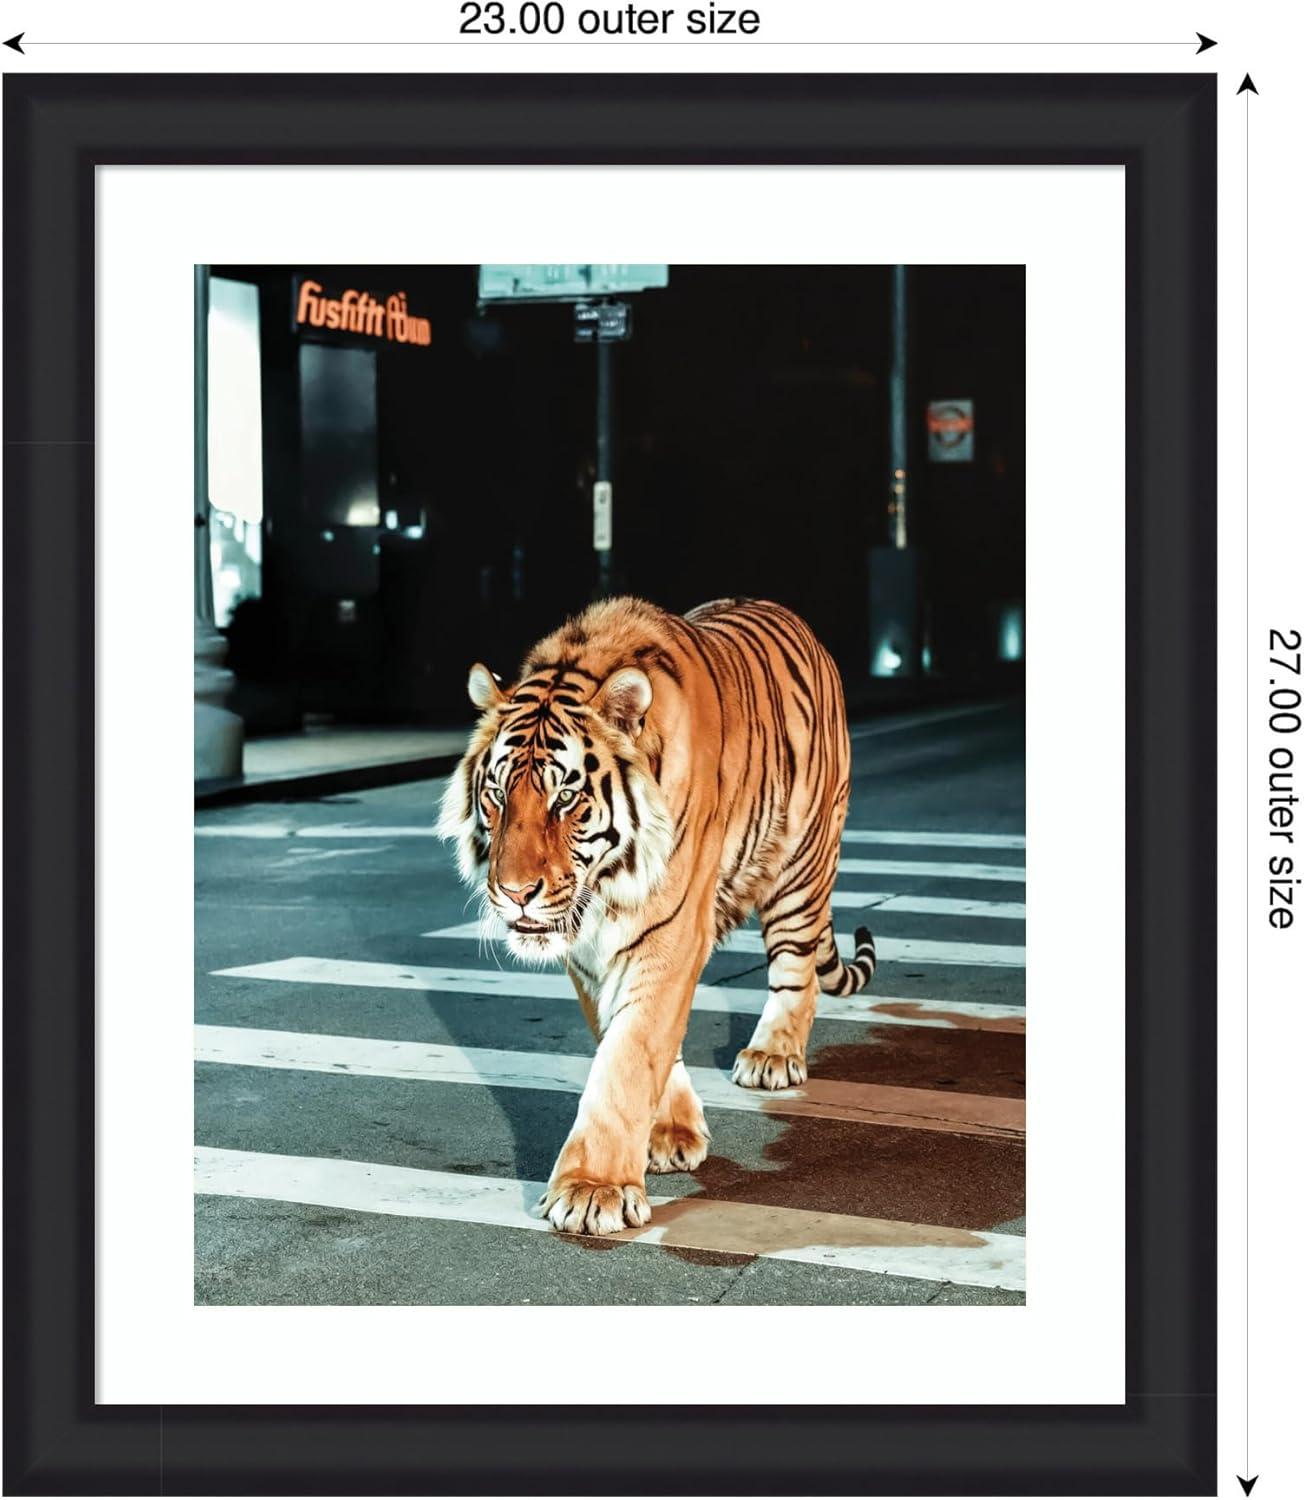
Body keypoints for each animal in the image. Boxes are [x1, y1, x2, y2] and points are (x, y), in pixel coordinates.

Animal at [438, 596, 877, 1236]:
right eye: (496, 794)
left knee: (797, 970)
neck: (605, 885)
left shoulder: (668, 932)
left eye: (565, 798)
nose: (516, 893)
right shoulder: (589, 952)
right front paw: (669, 1134)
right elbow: (631, 1038)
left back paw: (772, 1055)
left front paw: (591, 1189)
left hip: (801, 864)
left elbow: (629, 1053)